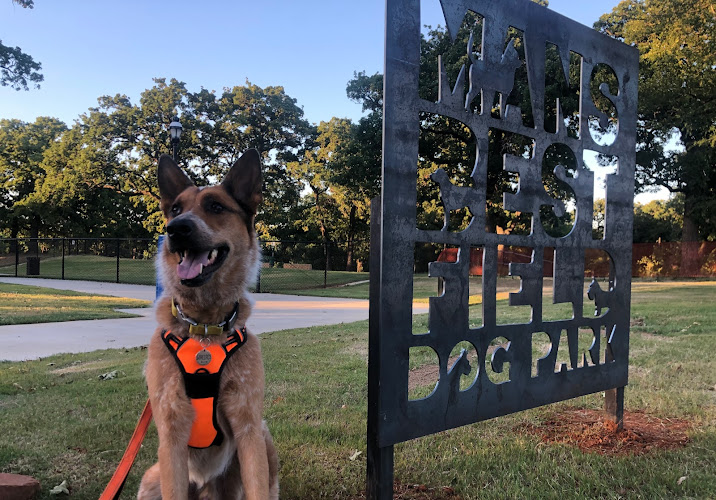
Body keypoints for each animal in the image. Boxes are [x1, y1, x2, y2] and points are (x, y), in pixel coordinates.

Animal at [138, 150, 280, 498]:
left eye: (216, 207)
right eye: (176, 208)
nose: (176, 229)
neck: (202, 327)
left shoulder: (248, 428)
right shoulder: (171, 436)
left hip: (264, 437)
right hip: (150, 480)